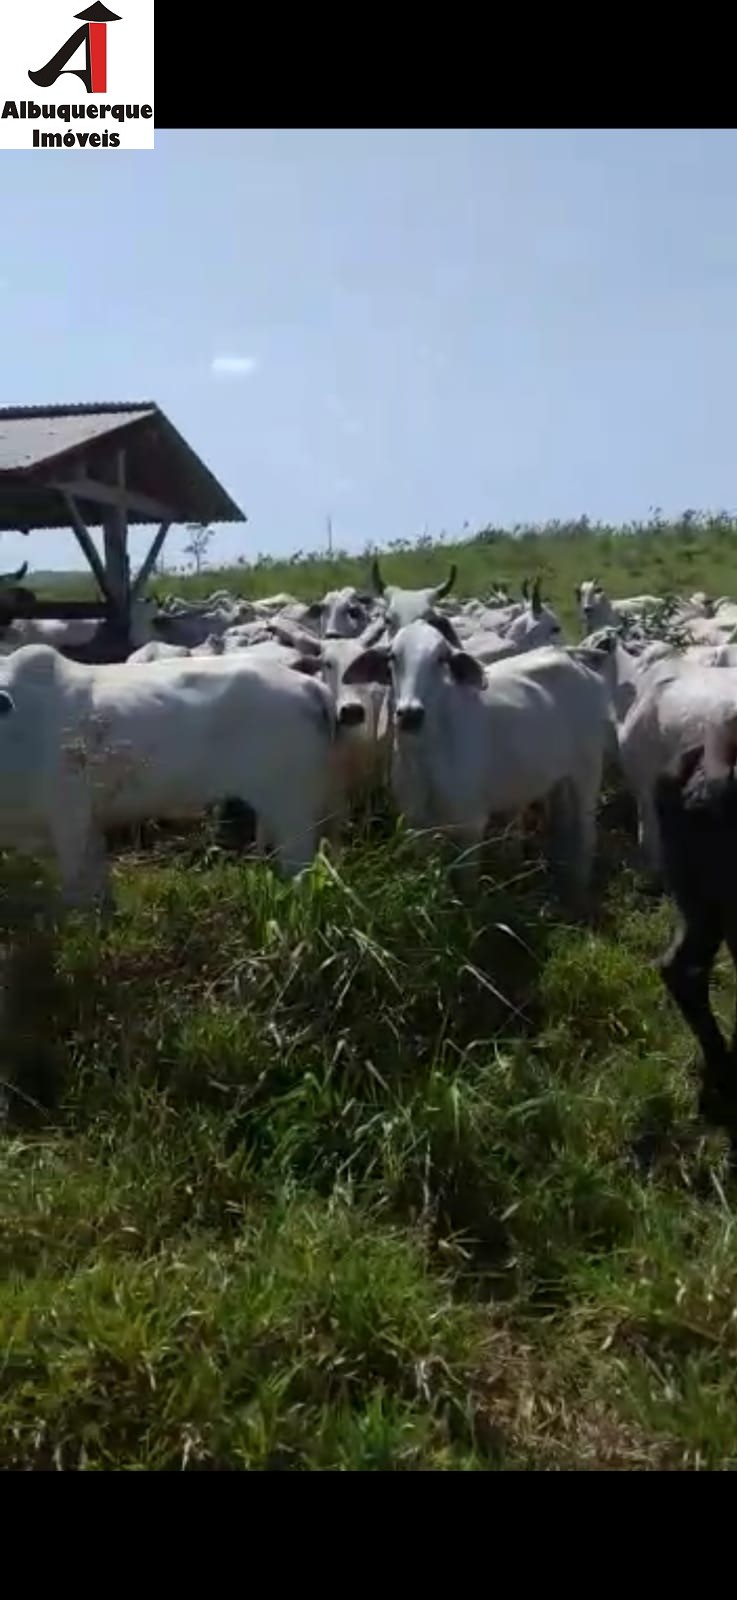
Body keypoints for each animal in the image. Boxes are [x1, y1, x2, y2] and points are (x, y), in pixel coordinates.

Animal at [342, 611, 607, 896]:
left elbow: (467, 886)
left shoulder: (470, 825)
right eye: (392, 656)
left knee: (586, 833)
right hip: (555, 779)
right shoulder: (417, 826)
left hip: (588, 772)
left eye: (442, 658)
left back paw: (579, 888)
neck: (426, 758)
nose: (410, 714)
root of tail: (571, 657)